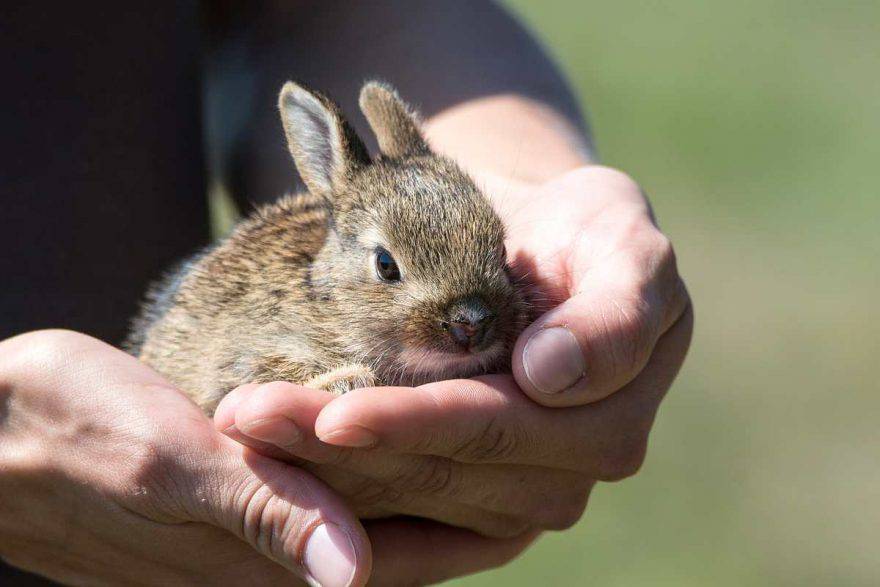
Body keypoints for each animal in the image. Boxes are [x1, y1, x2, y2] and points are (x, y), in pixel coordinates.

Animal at [131, 81, 528, 414]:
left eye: (501, 250)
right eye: (385, 265)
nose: (471, 323)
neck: (333, 306)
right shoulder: (241, 360)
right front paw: (347, 381)